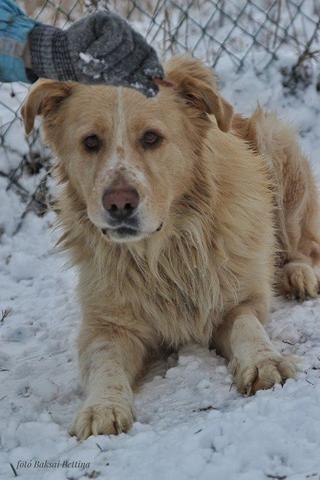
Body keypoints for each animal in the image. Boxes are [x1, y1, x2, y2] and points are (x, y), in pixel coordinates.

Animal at [21, 56, 320, 438]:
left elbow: (248, 328)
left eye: (151, 138)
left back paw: (298, 275)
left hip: (274, 142)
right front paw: (103, 406)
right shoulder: (106, 327)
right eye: (90, 142)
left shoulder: (239, 303)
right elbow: (105, 364)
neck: (162, 253)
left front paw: (265, 362)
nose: (119, 203)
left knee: (304, 246)